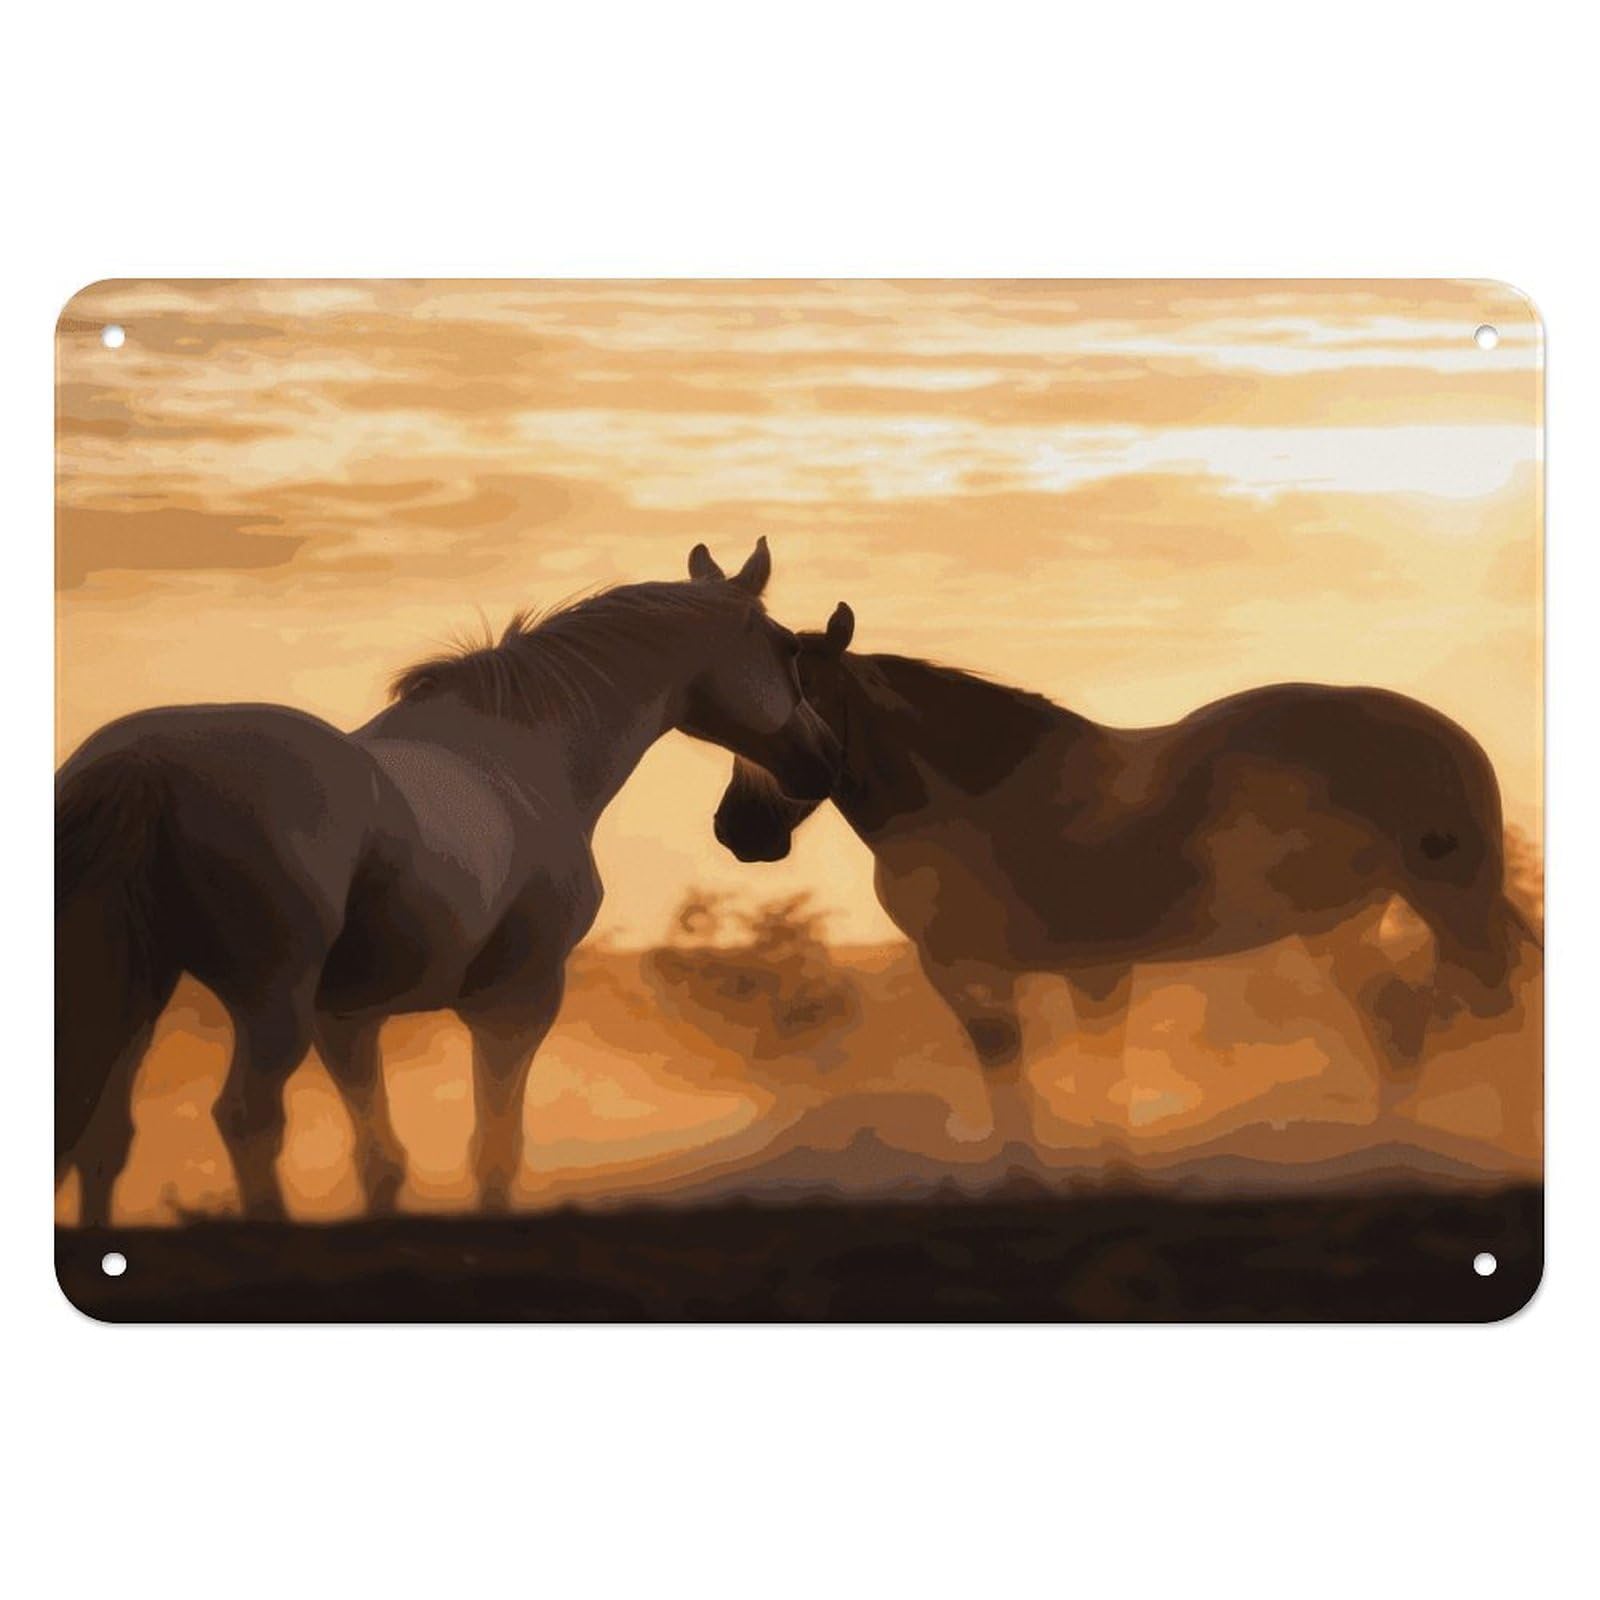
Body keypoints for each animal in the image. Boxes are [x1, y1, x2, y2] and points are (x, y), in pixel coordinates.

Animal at [56, 539, 840, 1223]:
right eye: (788, 649)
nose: (822, 760)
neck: (527, 752)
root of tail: (145, 763)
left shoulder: (348, 1018)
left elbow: (381, 1159)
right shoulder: (516, 1004)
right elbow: (495, 1148)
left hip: (140, 996)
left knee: (101, 1137)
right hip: (266, 1000)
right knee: (246, 1119)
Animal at [712, 603, 1539, 1146]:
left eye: (806, 700)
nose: (738, 830)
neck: (988, 800)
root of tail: (1453, 739)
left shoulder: (1025, 972)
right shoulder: (1065, 973)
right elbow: (1072, 1088)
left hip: (1450, 903)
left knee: (1486, 1011)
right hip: (1344, 926)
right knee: (1400, 1024)